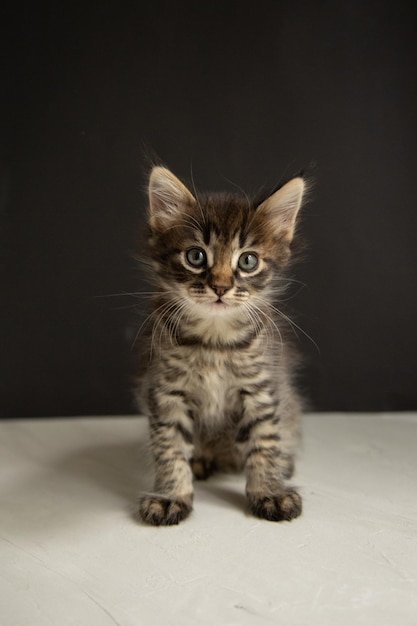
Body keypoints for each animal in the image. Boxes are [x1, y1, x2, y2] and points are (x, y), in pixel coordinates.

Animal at [136, 165, 306, 520]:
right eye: (196, 256)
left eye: (248, 261)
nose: (221, 287)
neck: (214, 341)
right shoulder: (165, 390)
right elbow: (169, 446)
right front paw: (171, 495)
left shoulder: (262, 388)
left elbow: (265, 441)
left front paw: (270, 492)